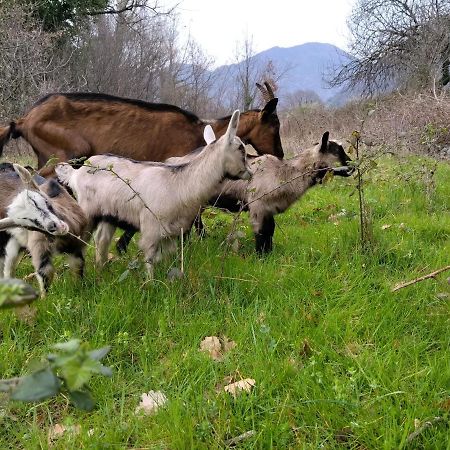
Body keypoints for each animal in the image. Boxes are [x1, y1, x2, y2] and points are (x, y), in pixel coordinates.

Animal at [0, 163, 87, 294]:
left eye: (45, 201)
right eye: (26, 224)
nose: (53, 227)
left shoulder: (75, 244)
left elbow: (78, 264)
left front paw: (80, 287)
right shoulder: (39, 249)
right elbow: (45, 272)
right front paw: (45, 297)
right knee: (8, 266)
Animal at [55, 110, 250, 278]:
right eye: (241, 148)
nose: (249, 173)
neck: (181, 183)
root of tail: (75, 174)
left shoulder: (173, 233)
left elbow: (166, 257)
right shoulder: (151, 228)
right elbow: (149, 259)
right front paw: (149, 284)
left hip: (109, 215)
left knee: (101, 241)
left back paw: (102, 273)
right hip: (87, 210)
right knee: (79, 244)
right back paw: (80, 279)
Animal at [167, 132, 354, 255]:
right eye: (337, 151)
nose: (352, 165)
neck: (285, 173)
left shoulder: (269, 208)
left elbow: (270, 230)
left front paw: (269, 253)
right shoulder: (258, 206)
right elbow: (262, 232)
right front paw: (261, 256)